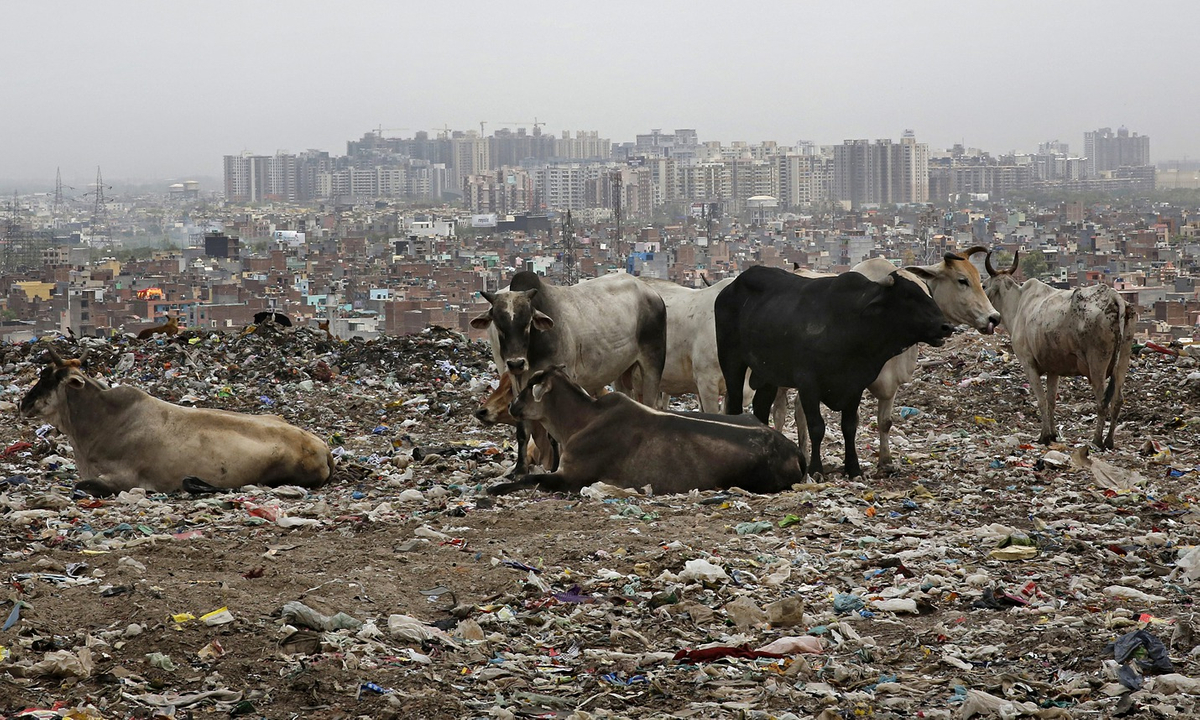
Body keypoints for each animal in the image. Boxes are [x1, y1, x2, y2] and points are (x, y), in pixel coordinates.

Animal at [484, 364, 806, 494]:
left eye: (529, 385)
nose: (513, 406)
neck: (581, 420)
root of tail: (793, 449)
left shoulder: (572, 477)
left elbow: (530, 478)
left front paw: (496, 487)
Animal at [715, 264, 950, 477]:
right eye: (909, 296)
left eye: (928, 293)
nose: (946, 326)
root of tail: (730, 287)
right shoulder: (808, 384)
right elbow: (816, 427)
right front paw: (816, 469)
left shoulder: (855, 385)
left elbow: (849, 426)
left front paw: (853, 468)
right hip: (732, 362)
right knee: (735, 404)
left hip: (767, 374)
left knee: (761, 407)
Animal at [984, 250, 1132, 446]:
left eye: (984, 285)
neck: (1017, 305)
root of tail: (1114, 296)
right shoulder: (1053, 369)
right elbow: (1051, 400)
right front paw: (1053, 434)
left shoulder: (1028, 364)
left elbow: (1041, 400)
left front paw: (1044, 435)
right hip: (1123, 359)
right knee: (1117, 400)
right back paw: (1109, 441)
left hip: (1097, 363)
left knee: (1102, 402)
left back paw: (1096, 440)